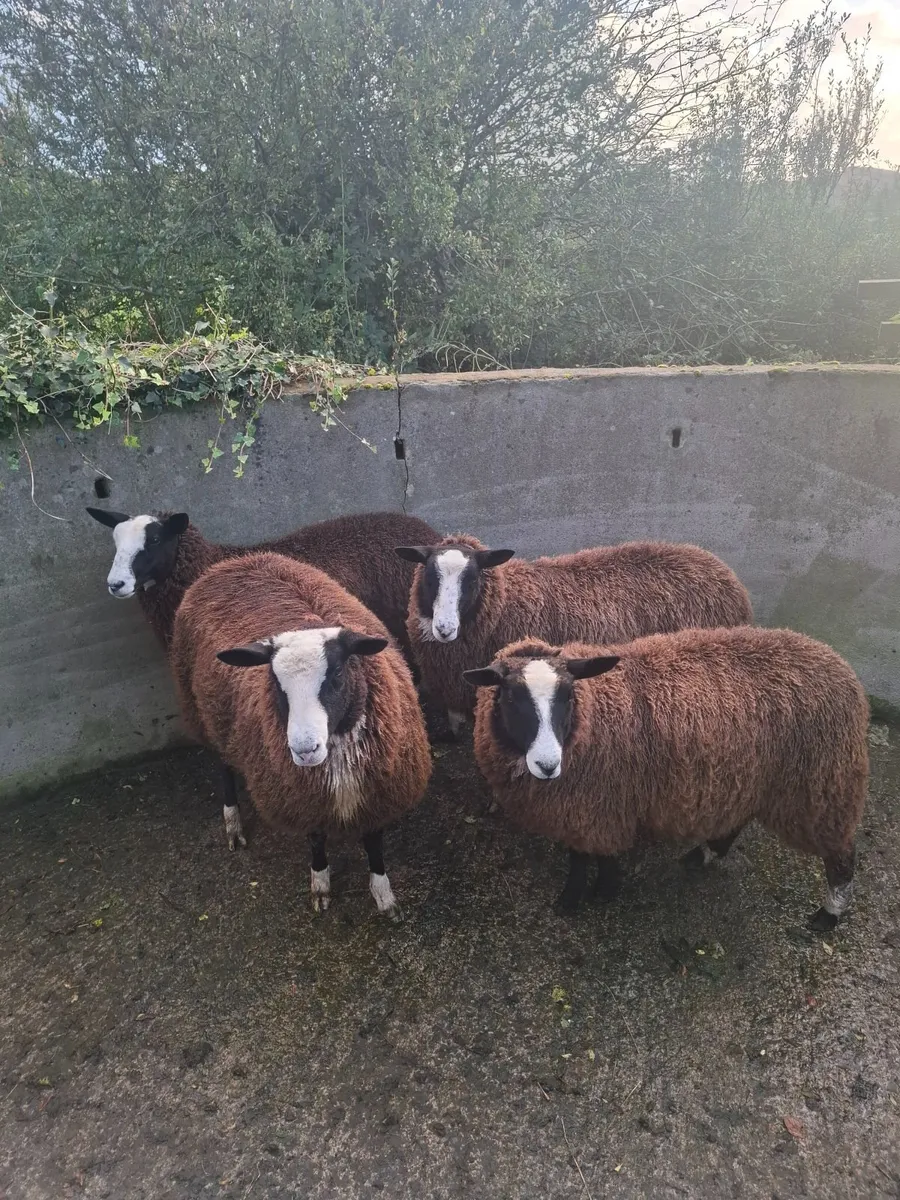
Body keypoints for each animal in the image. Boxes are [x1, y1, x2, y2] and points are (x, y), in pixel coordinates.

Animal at [171, 551, 432, 918]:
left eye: (337, 674)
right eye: (275, 682)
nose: (304, 750)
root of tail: (237, 560)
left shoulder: (377, 789)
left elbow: (374, 842)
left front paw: (384, 895)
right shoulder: (304, 794)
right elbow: (316, 838)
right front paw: (320, 884)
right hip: (205, 712)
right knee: (223, 768)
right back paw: (233, 822)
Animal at [464, 627, 869, 931]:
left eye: (568, 696)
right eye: (510, 699)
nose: (548, 765)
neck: (595, 711)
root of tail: (842, 668)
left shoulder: (597, 809)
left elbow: (588, 857)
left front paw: (595, 893)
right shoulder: (585, 810)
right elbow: (580, 856)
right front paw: (582, 894)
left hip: (821, 785)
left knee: (842, 853)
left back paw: (828, 914)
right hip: (749, 778)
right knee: (736, 821)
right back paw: (703, 853)